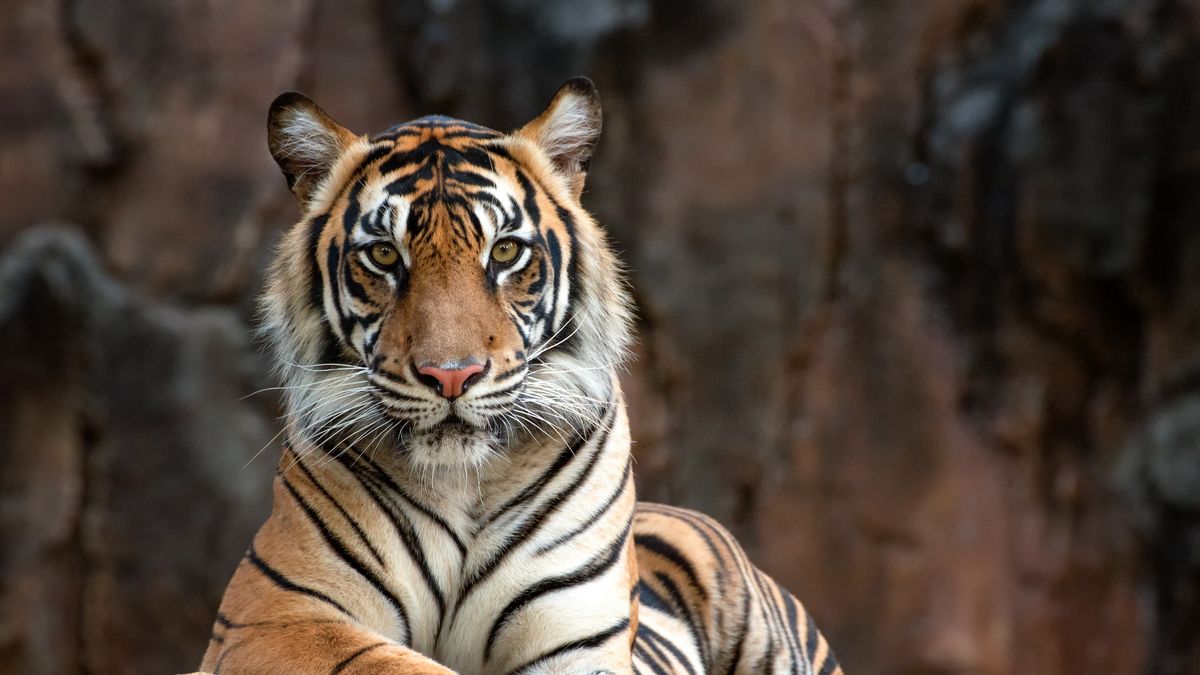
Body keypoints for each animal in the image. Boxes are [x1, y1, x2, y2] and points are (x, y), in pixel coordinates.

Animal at [199, 76, 844, 667]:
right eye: (384, 255)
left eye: (505, 252)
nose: (451, 376)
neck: (462, 481)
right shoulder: (278, 615)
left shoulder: (579, 635)